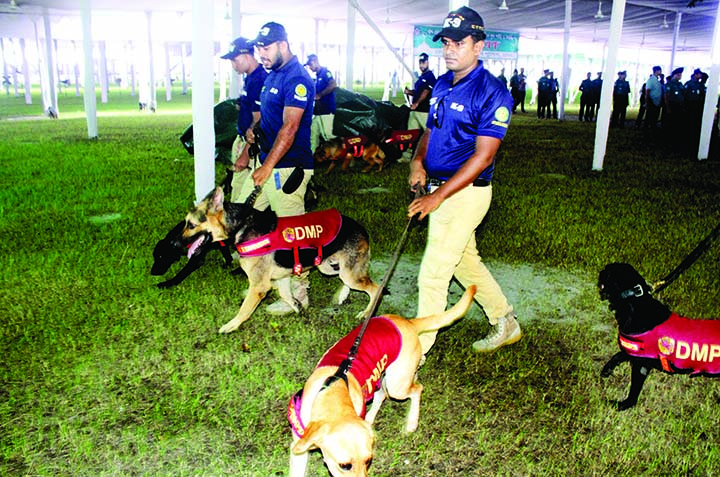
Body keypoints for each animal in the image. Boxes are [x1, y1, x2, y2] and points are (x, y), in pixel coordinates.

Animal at [178, 186, 380, 330]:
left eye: (191, 225)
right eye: (186, 224)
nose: (177, 244)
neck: (241, 224)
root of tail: (361, 228)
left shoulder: (259, 286)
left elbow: (244, 309)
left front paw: (231, 325)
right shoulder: (282, 277)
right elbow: (285, 294)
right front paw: (297, 307)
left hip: (349, 274)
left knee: (375, 289)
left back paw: (366, 312)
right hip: (328, 267)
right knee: (346, 279)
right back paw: (343, 294)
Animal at [286, 284, 478, 474]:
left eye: (368, 461)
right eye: (345, 465)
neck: (334, 388)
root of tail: (409, 322)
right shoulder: (298, 449)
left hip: (397, 385)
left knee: (417, 388)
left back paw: (411, 423)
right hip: (383, 379)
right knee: (383, 395)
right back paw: (371, 419)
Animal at [596, 260, 720, 410]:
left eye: (607, 269)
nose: (601, 271)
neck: (636, 304)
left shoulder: (641, 364)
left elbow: (632, 397)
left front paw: (621, 405)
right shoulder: (637, 354)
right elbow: (618, 355)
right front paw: (607, 369)